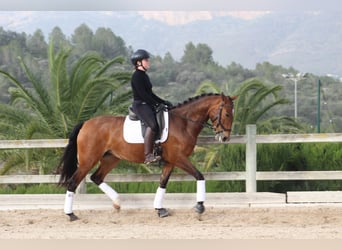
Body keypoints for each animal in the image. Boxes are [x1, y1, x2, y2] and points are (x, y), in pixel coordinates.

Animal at [57, 93, 236, 221]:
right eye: (227, 114)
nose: (225, 138)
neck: (184, 123)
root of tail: (85, 123)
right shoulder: (179, 158)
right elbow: (199, 176)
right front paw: (199, 207)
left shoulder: (170, 161)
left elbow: (162, 183)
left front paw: (160, 210)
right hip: (88, 161)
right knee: (73, 183)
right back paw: (71, 215)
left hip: (111, 158)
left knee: (96, 177)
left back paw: (117, 203)